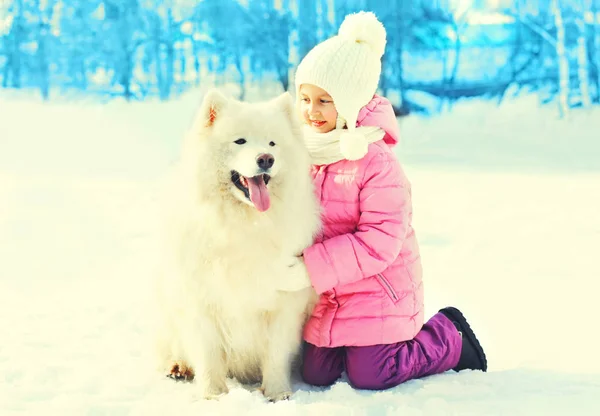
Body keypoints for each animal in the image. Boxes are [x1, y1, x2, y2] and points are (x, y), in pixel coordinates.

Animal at [155, 89, 322, 402]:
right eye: (240, 141)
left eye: (272, 143)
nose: (266, 158)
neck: (243, 225)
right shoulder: (202, 301)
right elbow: (208, 354)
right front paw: (214, 396)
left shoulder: (284, 305)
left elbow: (276, 354)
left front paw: (278, 394)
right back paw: (178, 365)